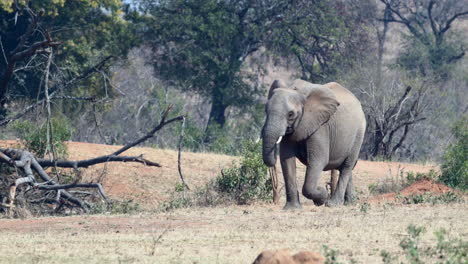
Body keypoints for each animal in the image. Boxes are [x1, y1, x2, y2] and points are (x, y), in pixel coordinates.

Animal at [260, 78, 366, 208]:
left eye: (291, 114)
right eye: (265, 110)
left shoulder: (321, 126)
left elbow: (318, 160)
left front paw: (322, 196)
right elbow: (286, 161)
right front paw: (292, 208)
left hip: (359, 132)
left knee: (347, 165)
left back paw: (333, 204)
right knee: (344, 167)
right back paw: (350, 203)